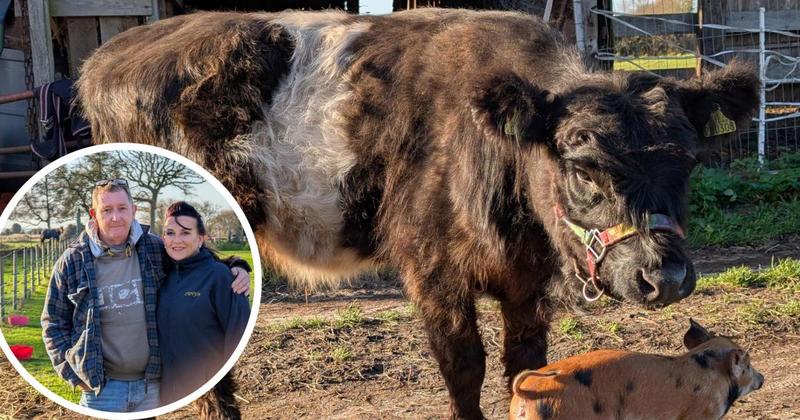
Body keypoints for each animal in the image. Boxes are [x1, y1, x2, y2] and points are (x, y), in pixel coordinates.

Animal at [76, 9, 759, 419]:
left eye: (688, 162)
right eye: (583, 167)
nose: (664, 277)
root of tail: (113, 52)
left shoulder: (526, 279)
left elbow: (527, 365)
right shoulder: (435, 270)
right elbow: (464, 367)